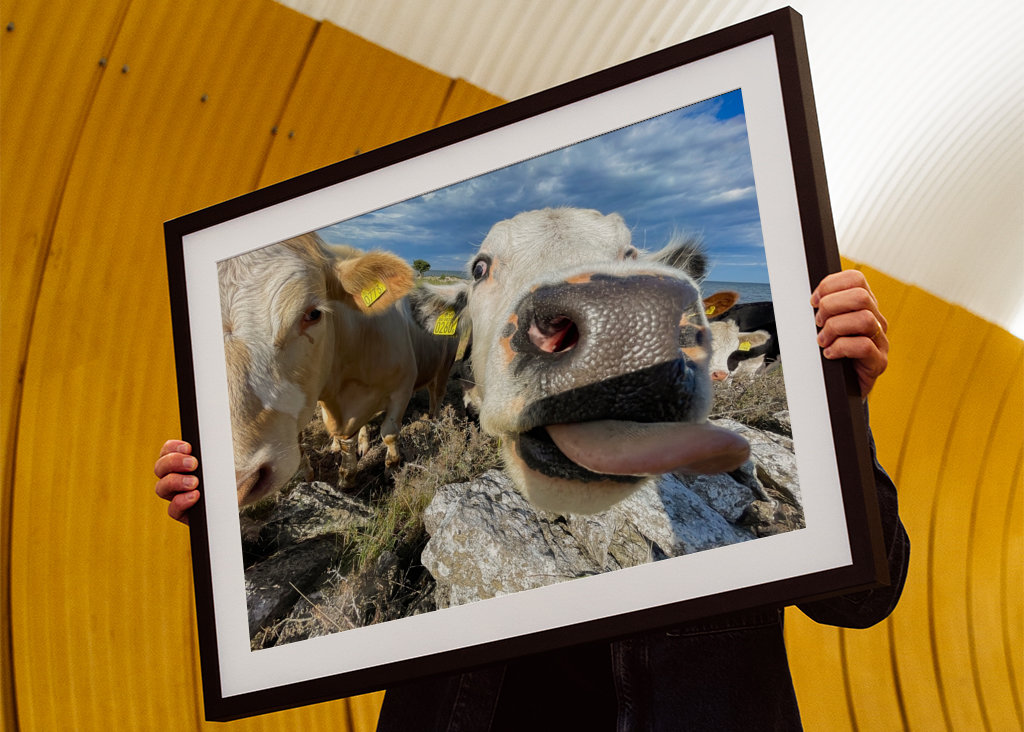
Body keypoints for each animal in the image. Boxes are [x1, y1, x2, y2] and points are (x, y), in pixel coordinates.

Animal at [219, 233, 457, 507]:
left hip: (445, 365)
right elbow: (344, 439)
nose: (243, 483)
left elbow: (389, 433)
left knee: (436, 395)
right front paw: (344, 475)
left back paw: (434, 422)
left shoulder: (402, 387)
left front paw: (391, 468)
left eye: (313, 314)